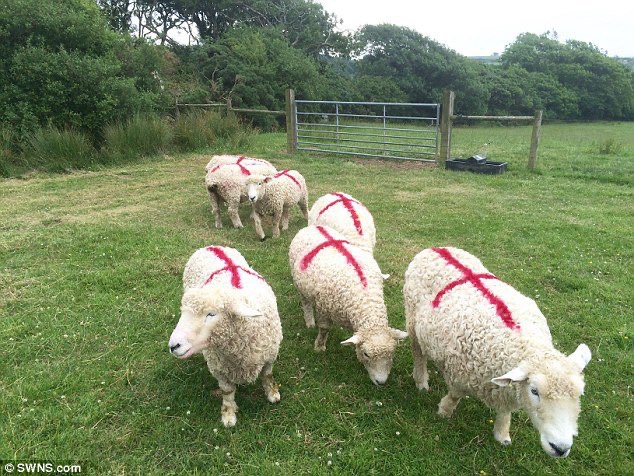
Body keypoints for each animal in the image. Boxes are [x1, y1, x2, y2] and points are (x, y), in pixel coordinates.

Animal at [168, 245, 283, 427]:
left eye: (211, 314)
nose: (173, 346)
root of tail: (211, 246)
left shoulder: (270, 356)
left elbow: (267, 375)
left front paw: (272, 394)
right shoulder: (219, 369)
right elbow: (227, 391)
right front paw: (229, 415)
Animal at [289, 225, 408, 385]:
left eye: (392, 353)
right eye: (366, 354)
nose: (381, 382)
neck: (366, 299)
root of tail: (314, 226)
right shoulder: (324, 308)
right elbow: (324, 329)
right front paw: (319, 347)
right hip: (299, 285)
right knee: (306, 303)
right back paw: (310, 322)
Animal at [403, 247, 591, 457]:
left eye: (580, 394)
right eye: (534, 391)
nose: (560, 448)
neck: (524, 344)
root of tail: (436, 248)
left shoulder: (506, 389)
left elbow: (504, 411)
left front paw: (502, 435)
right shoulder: (459, 375)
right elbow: (454, 395)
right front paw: (444, 411)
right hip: (412, 320)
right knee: (418, 353)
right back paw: (421, 381)